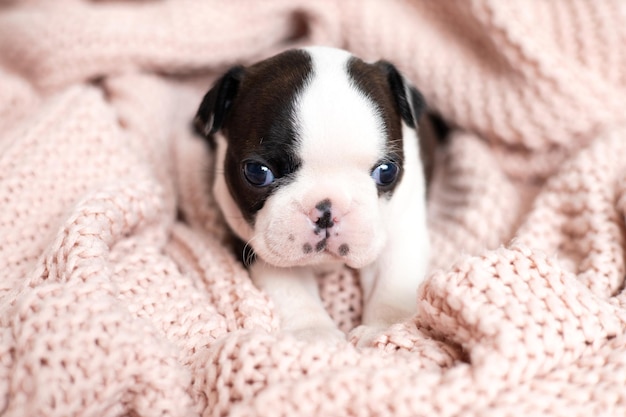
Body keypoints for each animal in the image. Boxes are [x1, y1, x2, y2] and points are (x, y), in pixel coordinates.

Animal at [194, 46, 434, 344]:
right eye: (258, 172)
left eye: (387, 171)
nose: (327, 211)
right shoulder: (255, 242)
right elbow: (291, 288)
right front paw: (315, 334)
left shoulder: (402, 228)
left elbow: (392, 279)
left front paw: (384, 330)